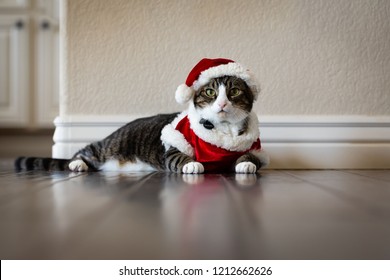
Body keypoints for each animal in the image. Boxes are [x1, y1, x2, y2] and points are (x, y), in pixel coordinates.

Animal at [14, 58, 268, 174]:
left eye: (234, 92)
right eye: (210, 92)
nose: (223, 102)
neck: (224, 133)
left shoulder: (253, 146)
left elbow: (252, 158)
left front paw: (245, 164)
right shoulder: (174, 146)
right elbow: (180, 158)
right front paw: (192, 165)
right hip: (108, 146)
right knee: (84, 151)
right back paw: (76, 164)